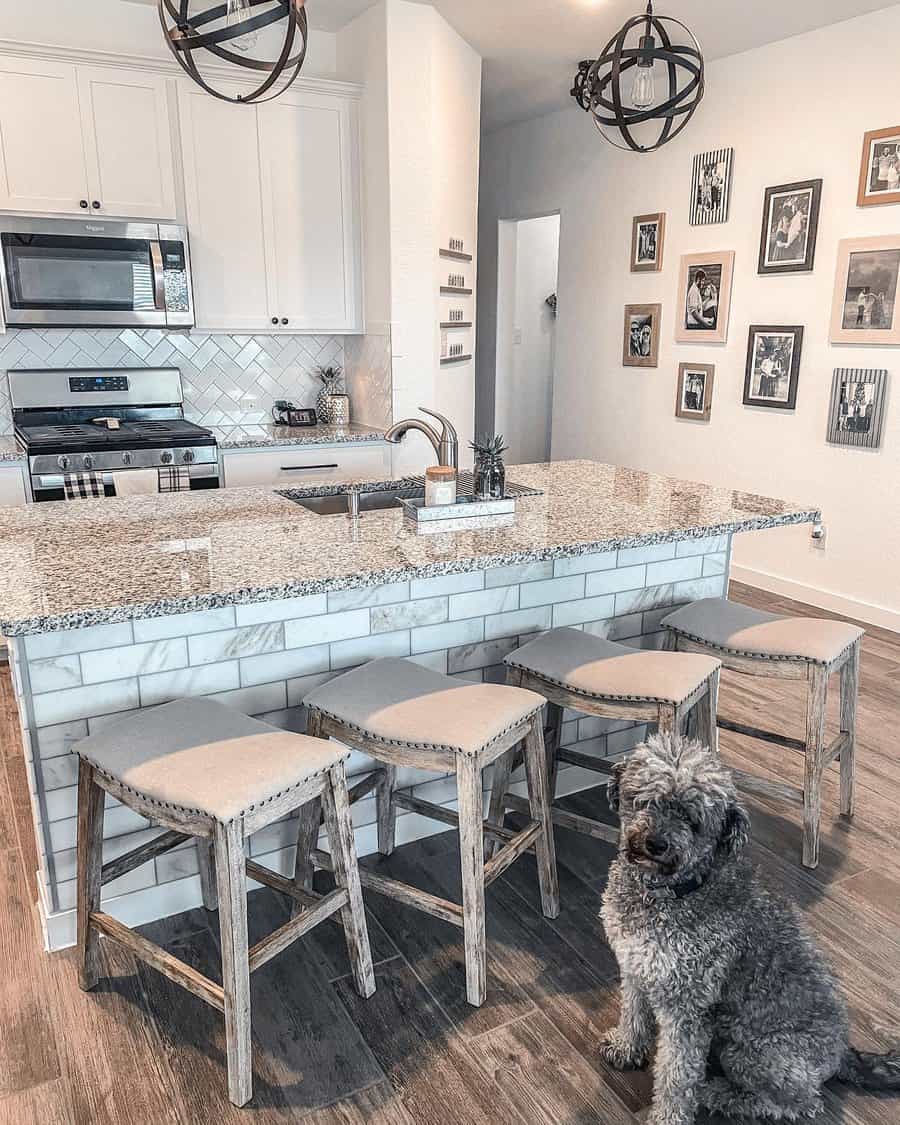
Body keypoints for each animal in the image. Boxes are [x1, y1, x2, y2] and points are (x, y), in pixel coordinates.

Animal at [598, 733, 900, 1120]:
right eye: (645, 799)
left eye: (693, 821)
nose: (656, 844)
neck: (671, 892)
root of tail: (843, 1054)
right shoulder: (636, 967)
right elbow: (633, 1014)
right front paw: (626, 1048)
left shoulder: (687, 1009)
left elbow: (676, 1075)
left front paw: (668, 1116)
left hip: (752, 1052)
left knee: (798, 1104)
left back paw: (716, 1093)